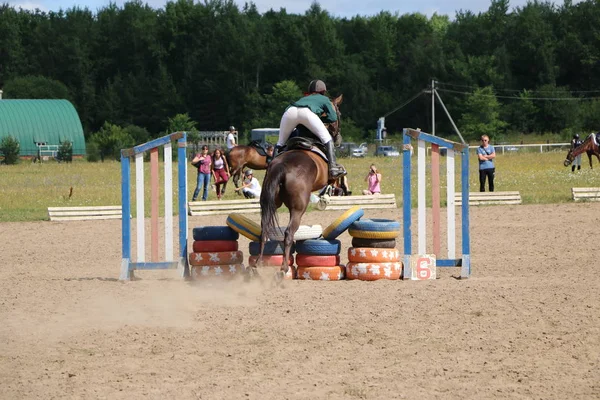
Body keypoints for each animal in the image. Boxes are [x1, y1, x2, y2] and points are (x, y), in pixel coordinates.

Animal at [256, 95, 342, 280]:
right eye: (338, 113)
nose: (338, 139)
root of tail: (281, 166)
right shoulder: (330, 177)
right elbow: (333, 181)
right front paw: (325, 198)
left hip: (270, 202)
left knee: (264, 230)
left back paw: (257, 265)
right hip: (298, 208)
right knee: (289, 233)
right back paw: (283, 269)